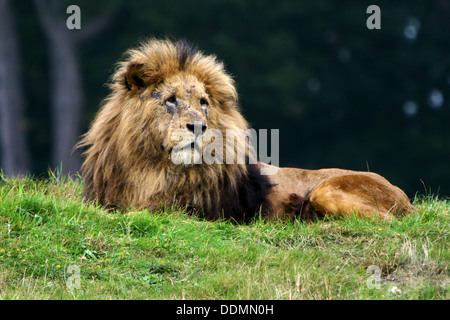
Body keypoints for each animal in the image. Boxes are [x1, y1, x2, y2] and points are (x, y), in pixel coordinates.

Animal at [78, 38, 414, 222]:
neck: (154, 170)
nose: (198, 126)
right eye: (171, 100)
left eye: (203, 103)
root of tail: (405, 198)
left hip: (327, 189)